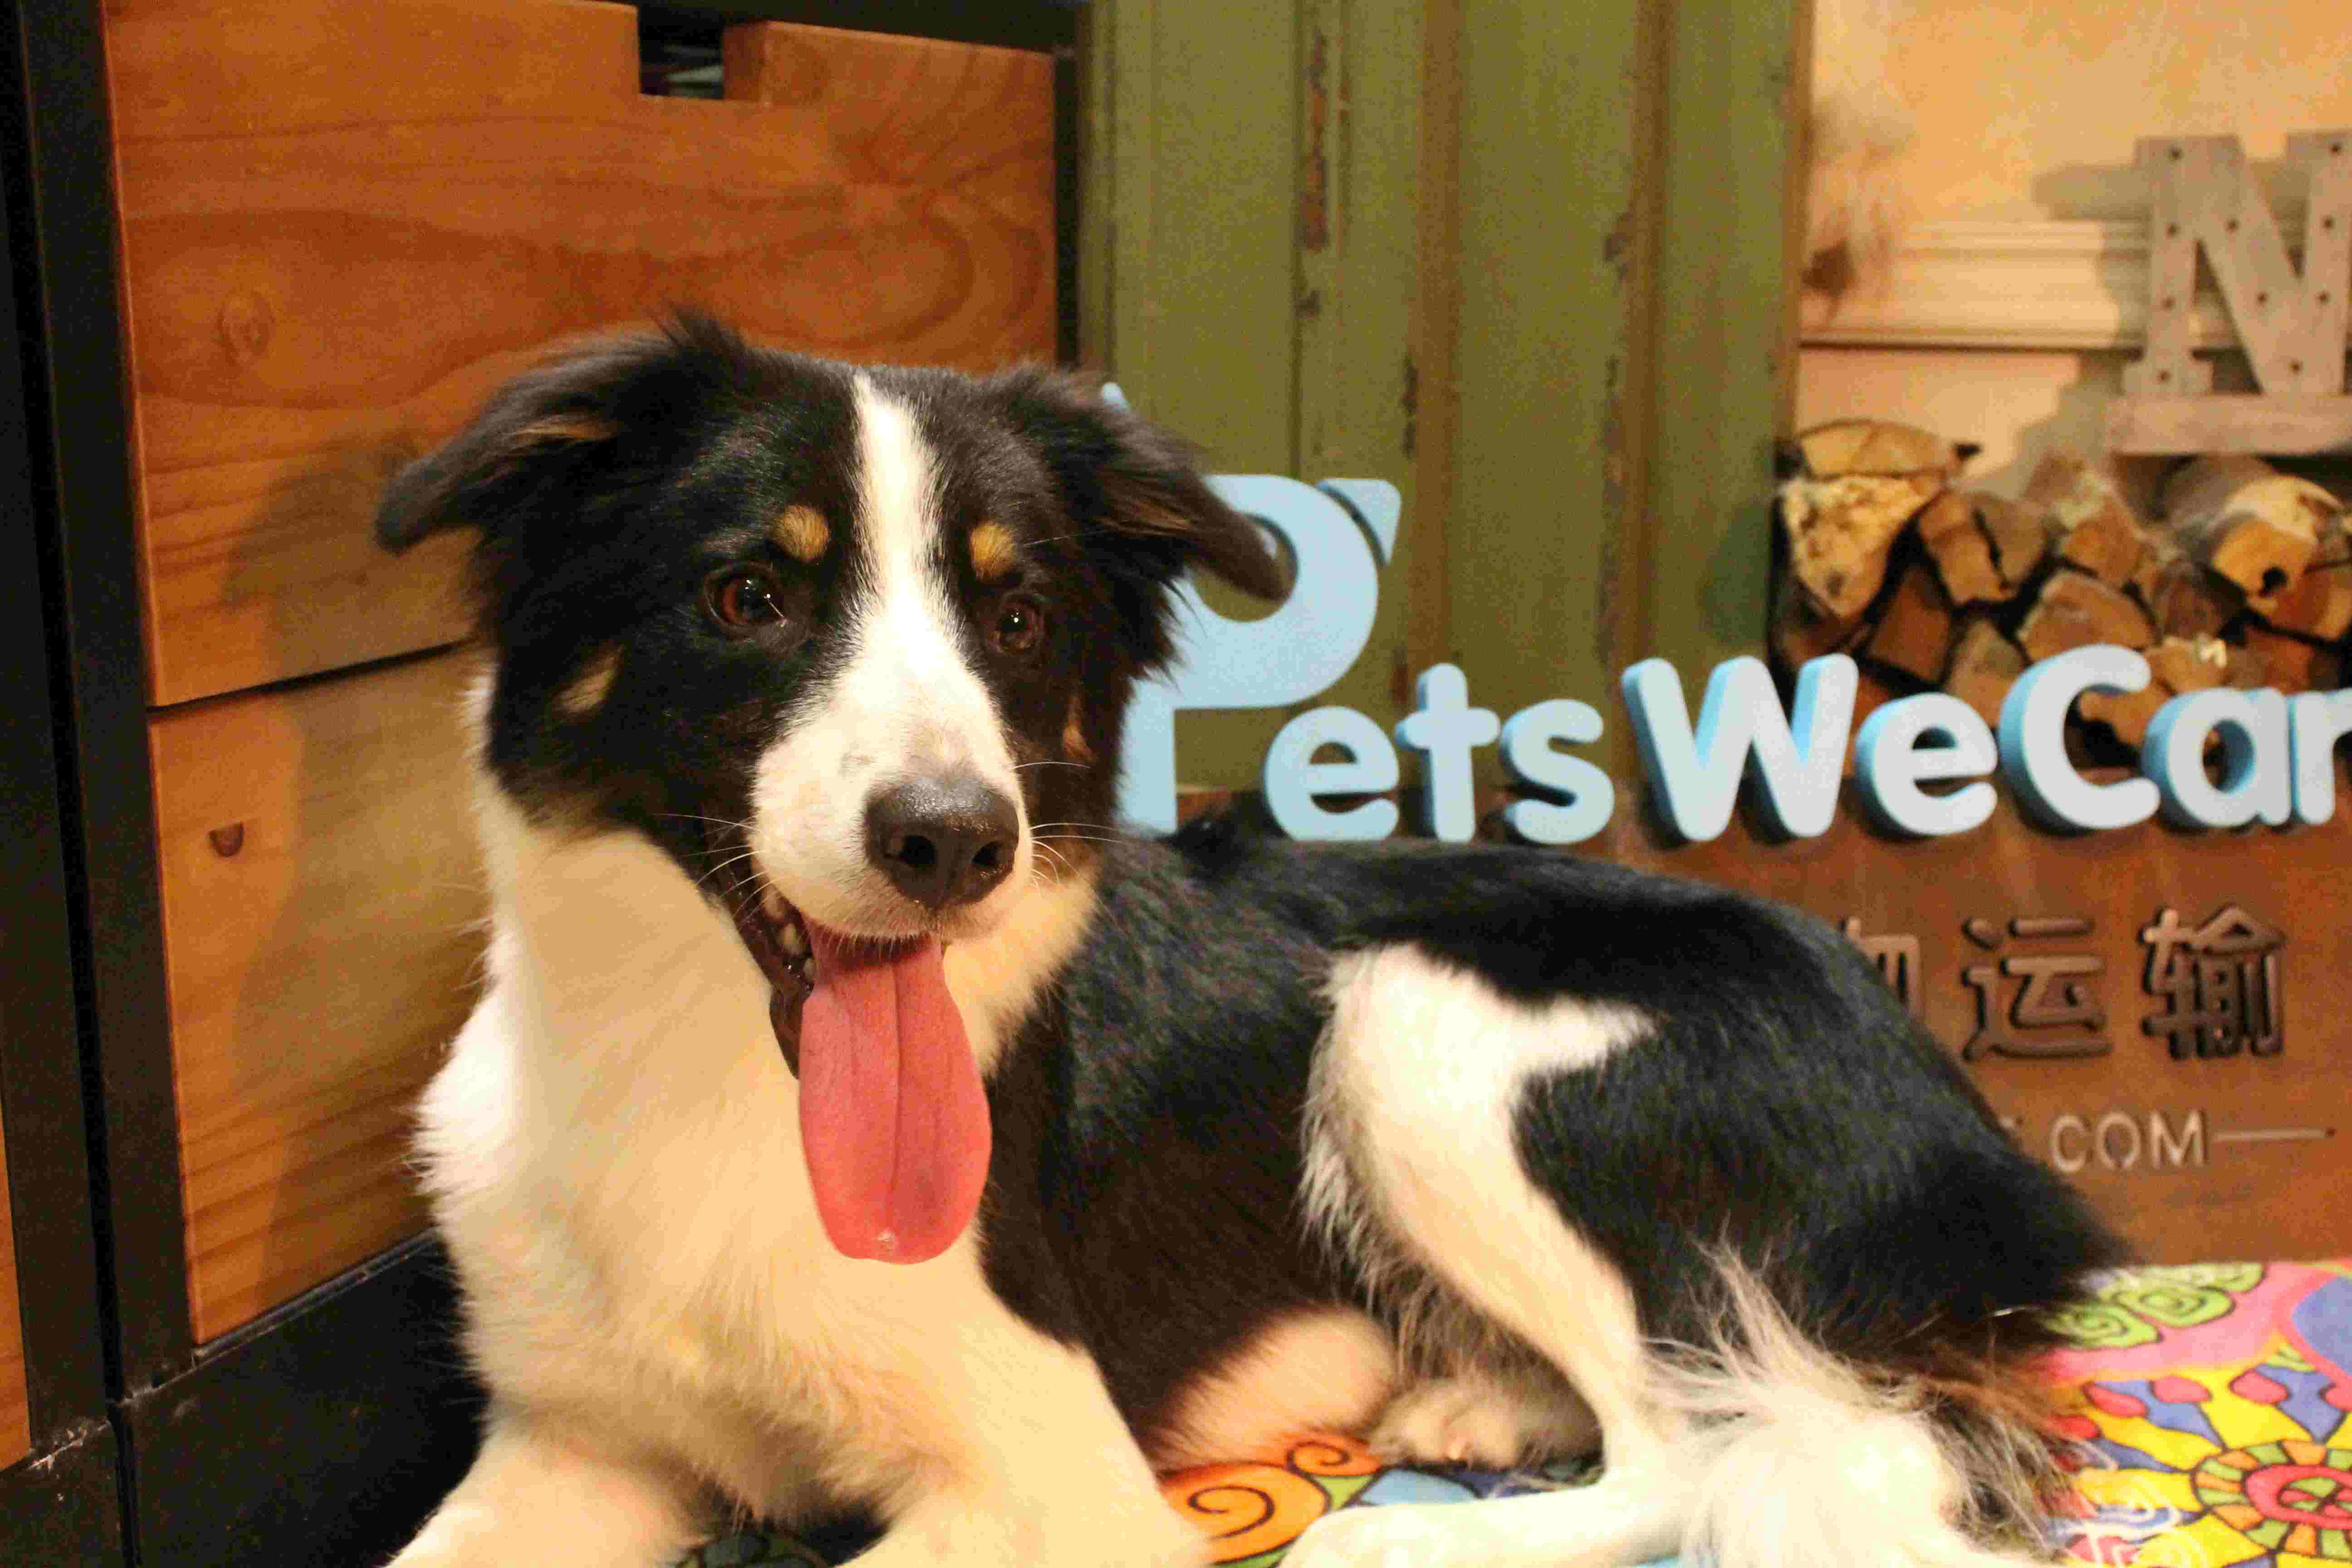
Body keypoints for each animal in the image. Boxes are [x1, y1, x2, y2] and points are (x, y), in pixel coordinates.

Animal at [377, 317, 2121, 1568]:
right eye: (749, 595)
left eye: (1016, 622)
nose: (955, 842)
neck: (704, 1071)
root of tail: (1978, 1132)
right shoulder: (573, 1442)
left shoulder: (1051, 1475)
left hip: (1420, 1017)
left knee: (1695, 1443)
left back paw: (1404, 1545)